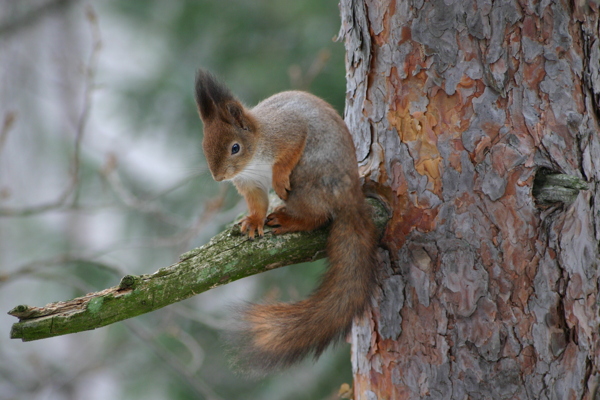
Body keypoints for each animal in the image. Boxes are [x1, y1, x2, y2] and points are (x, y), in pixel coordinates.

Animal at [195, 70, 378, 374]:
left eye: (235, 147)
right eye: (205, 145)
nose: (218, 177)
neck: (254, 158)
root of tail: (351, 199)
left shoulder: (288, 132)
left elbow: (292, 148)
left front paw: (279, 178)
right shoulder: (250, 183)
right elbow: (257, 203)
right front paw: (253, 221)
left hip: (308, 179)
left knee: (319, 217)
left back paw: (289, 219)